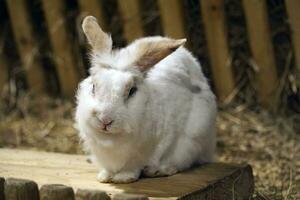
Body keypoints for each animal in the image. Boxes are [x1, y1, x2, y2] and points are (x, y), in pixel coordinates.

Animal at [74, 16, 216, 184]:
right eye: (94, 87)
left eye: (131, 91)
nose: (105, 120)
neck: (111, 140)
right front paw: (104, 177)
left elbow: (135, 166)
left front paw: (124, 178)